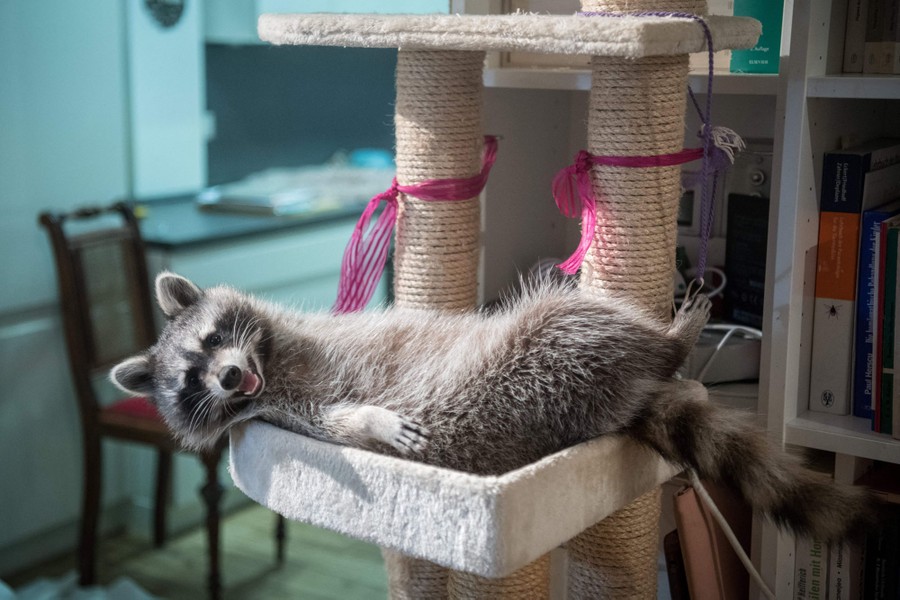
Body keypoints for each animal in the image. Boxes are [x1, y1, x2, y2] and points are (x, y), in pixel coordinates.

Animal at [111, 272, 877, 543]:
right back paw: (675, 337)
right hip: (551, 349)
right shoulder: (286, 415)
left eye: (212, 339)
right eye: (191, 379)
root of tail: (621, 401)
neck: (270, 364)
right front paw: (373, 420)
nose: (229, 377)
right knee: (583, 315)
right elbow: (345, 422)